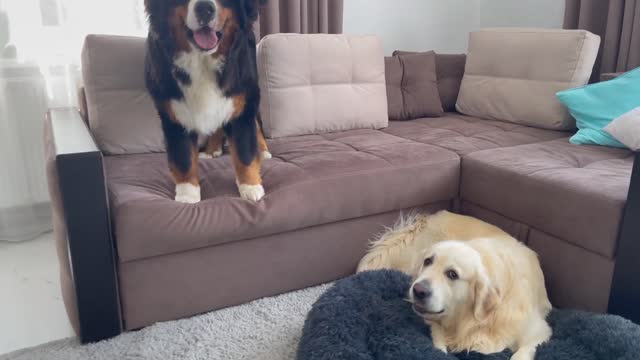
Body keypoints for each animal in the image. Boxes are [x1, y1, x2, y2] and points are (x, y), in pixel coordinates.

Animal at [145, 0, 270, 202]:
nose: (205, 8)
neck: (202, 61)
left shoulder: (242, 100)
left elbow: (244, 149)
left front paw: (250, 187)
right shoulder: (174, 111)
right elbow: (183, 157)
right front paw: (188, 194)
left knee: (256, 125)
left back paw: (264, 151)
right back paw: (212, 150)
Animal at [358, 211, 552, 360]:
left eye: (452, 274)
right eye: (428, 261)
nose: (418, 291)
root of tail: (426, 219)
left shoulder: (539, 330)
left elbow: (522, 352)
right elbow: (436, 335)